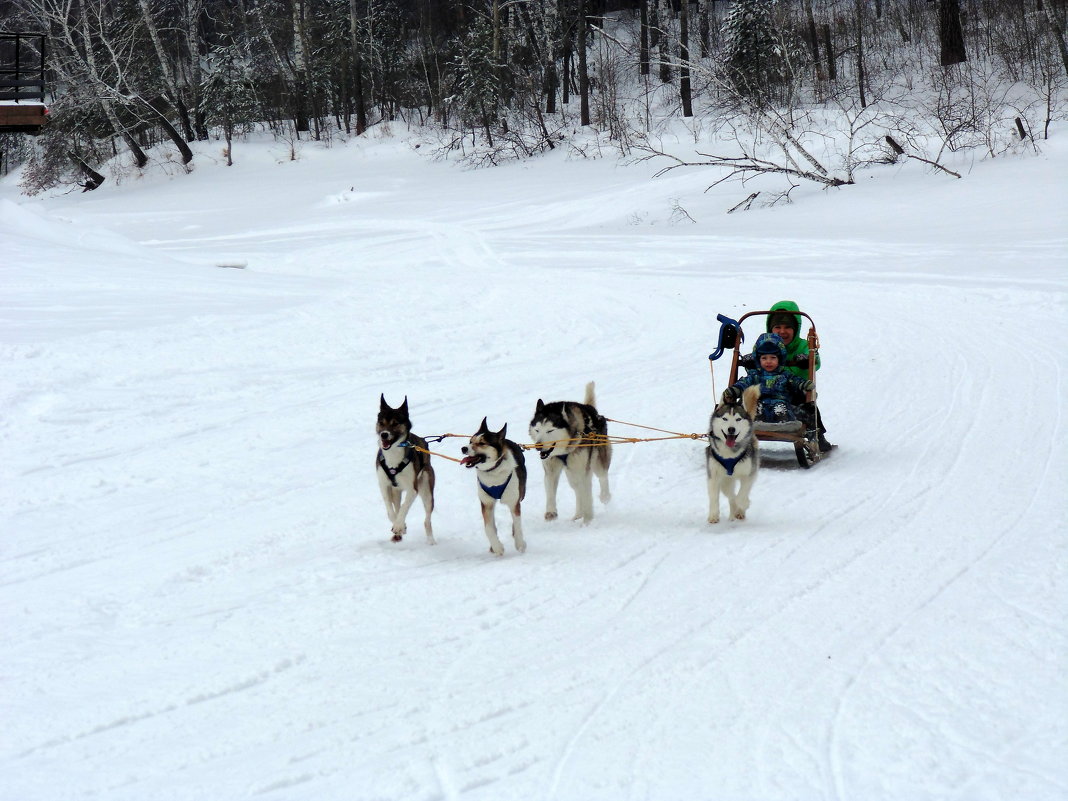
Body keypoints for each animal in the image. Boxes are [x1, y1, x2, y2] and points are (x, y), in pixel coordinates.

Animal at [378, 395, 435, 546]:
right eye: (381, 423)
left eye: (395, 423)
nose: (384, 435)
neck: (393, 459)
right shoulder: (384, 486)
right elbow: (391, 511)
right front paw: (400, 527)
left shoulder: (412, 489)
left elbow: (404, 507)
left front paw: (398, 526)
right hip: (396, 491)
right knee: (397, 506)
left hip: (427, 490)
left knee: (427, 519)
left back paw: (431, 540)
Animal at [461, 420, 527, 559]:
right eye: (470, 441)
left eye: (482, 443)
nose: (463, 448)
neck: (493, 471)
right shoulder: (486, 503)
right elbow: (489, 529)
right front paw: (497, 548)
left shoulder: (514, 502)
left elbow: (517, 525)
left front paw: (520, 544)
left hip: (521, 494)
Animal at [525, 384, 610, 527]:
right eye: (537, 430)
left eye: (550, 430)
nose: (538, 446)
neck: (563, 451)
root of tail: (592, 409)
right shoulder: (550, 469)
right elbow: (550, 490)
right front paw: (551, 512)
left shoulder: (584, 470)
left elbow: (587, 496)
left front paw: (587, 521)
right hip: (571, 474)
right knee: (577, 489)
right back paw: (578, 514)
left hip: (597, 463)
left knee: (602, 477)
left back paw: (605, 497)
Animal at [704, 386, 764, 527]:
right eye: (725, 419)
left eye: (738, 419)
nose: (731, 429)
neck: (729, 454)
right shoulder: (713, 476)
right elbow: (714, 497)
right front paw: (713, 515)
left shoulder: (749, 474)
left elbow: (742, 495)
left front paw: (743, 505)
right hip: (725, 481)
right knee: (730, 495)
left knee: (737, 496)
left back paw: (739, 511)